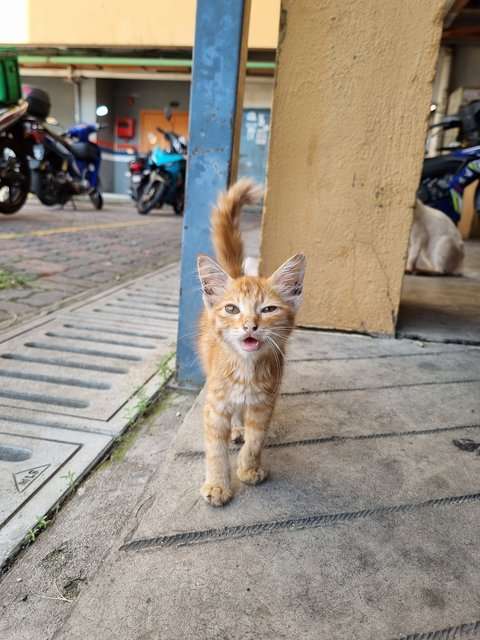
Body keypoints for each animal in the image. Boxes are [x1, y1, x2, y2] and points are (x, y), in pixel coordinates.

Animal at [196, 179, 306, 504]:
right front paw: (218, 485)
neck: (246, 370)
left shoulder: (265, 404)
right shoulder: (215, 405)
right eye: (232, 309)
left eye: (268, 309)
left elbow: (257, 440)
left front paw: (249, 468)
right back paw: (235, 429)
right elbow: (215, 450)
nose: (249, 325)